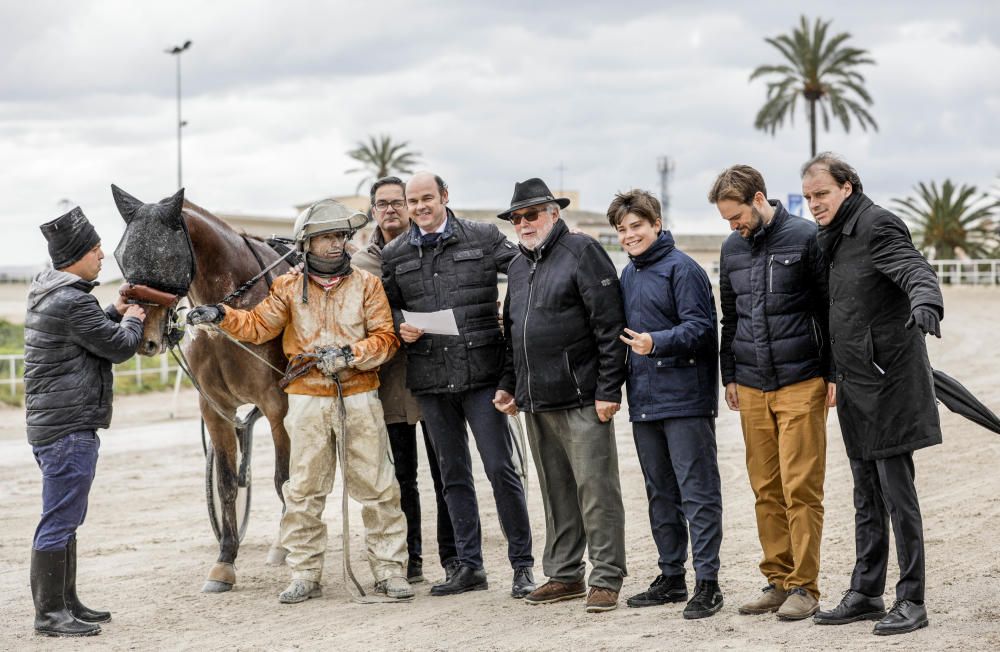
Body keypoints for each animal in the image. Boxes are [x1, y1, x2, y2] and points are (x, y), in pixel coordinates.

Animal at [115, 186, 292, 592]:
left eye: (164, 257)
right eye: (121, 256)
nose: (144, 339)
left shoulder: (277, 404)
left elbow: (283, 479)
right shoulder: (216, 409)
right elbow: (227, 483)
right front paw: (225, 561)